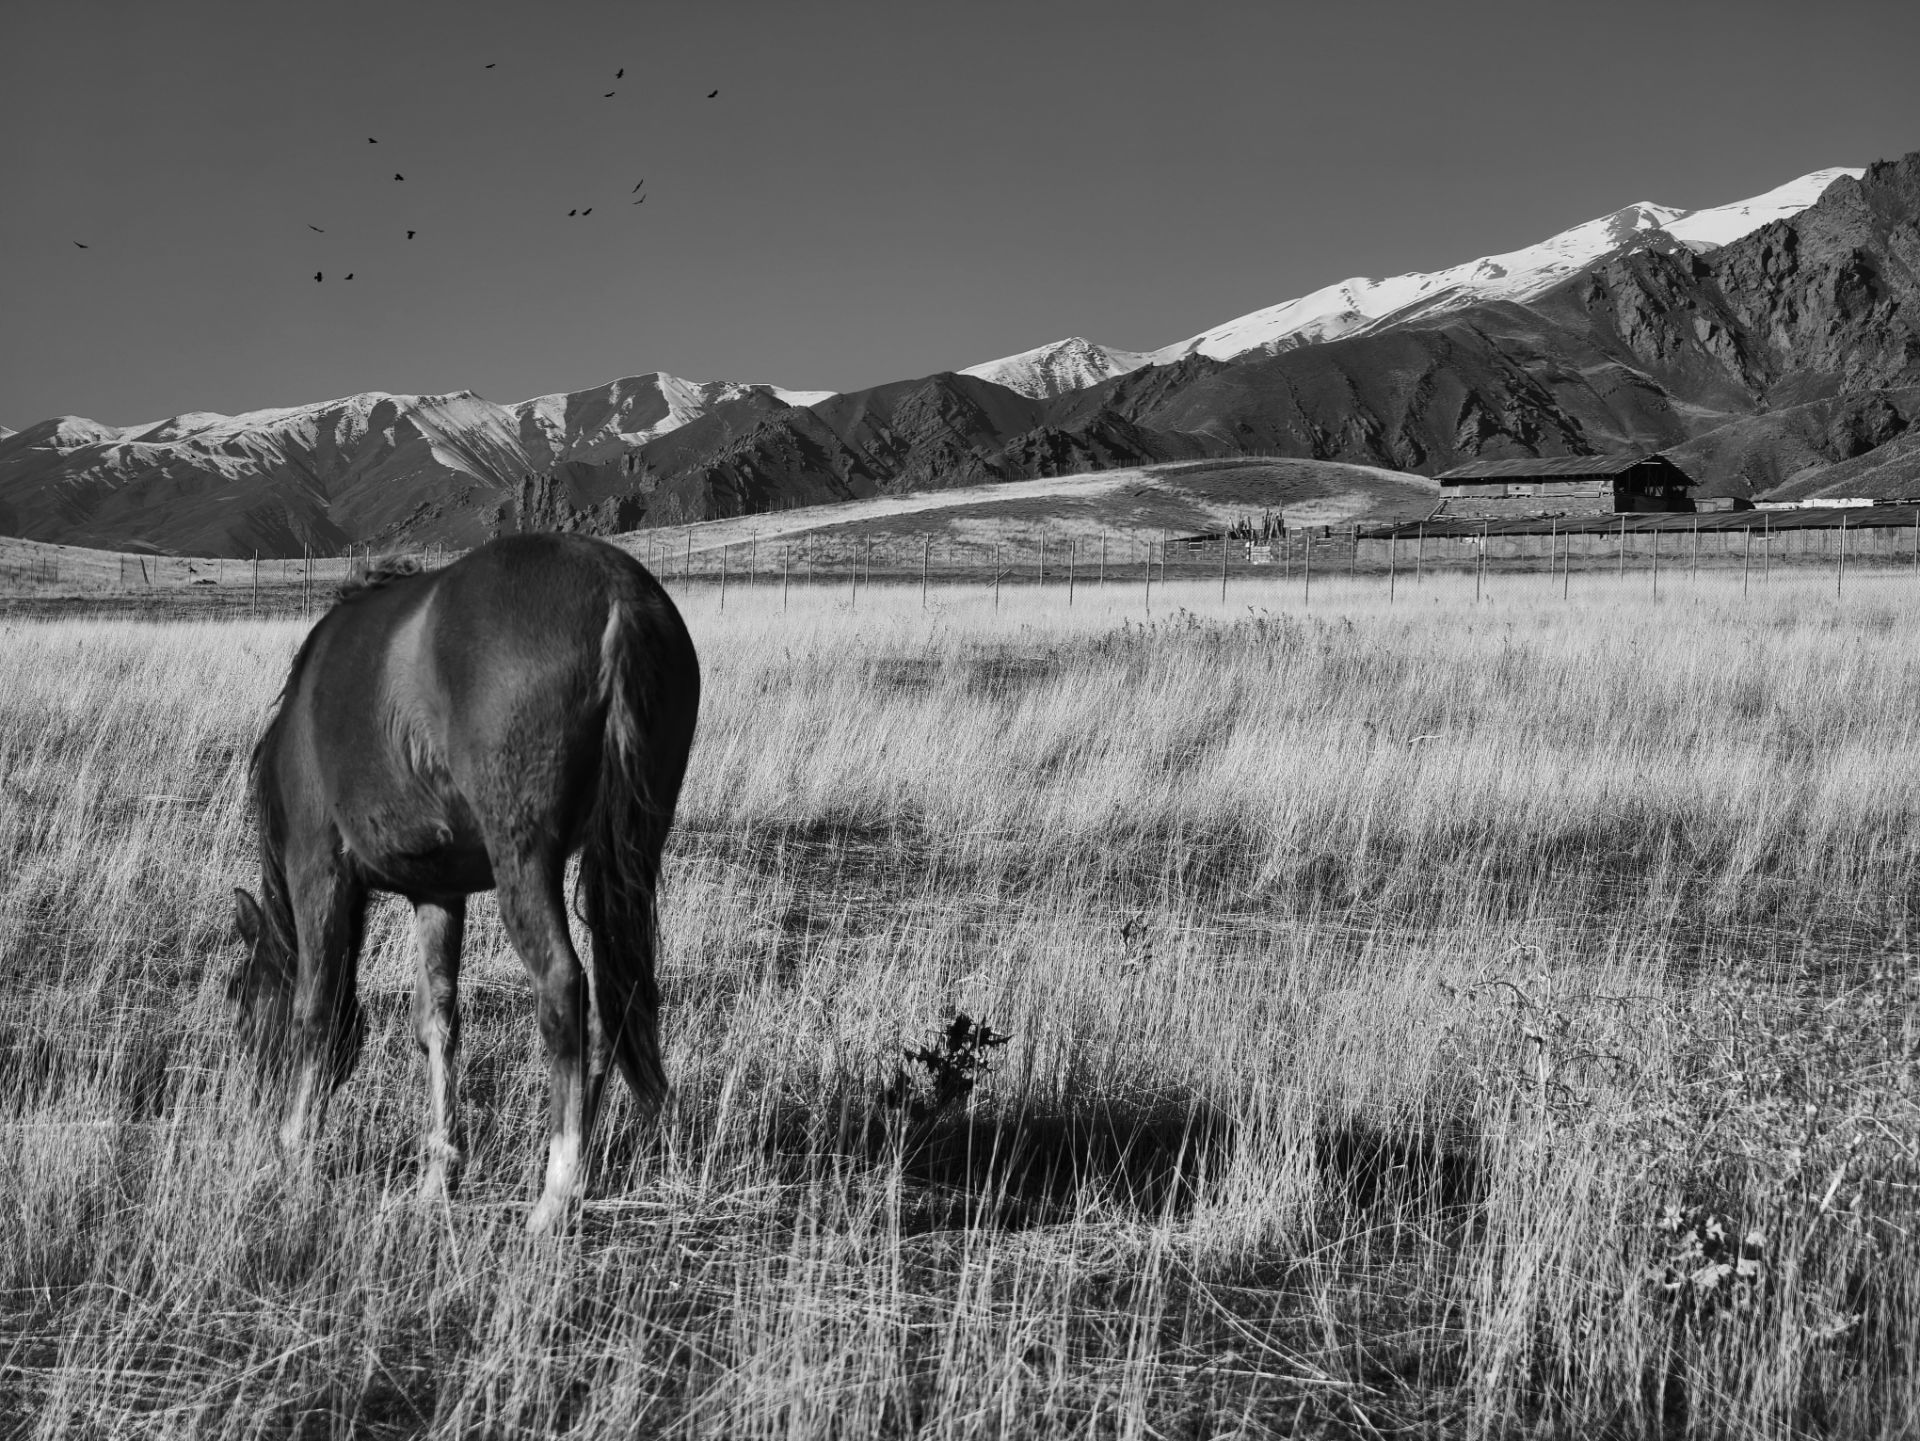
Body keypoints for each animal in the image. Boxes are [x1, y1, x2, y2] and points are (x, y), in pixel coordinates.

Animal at [227, 537, 698, 1235]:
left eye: (242, 1001)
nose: (255, 1103)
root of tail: (617, 593)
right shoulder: (438, 894)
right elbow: (437, 1022)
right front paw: (437, 1175)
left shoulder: (319, 872)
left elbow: (315, 1011)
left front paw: (295, 1162)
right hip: (632, 853)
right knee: (616, 1003)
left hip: (522, 860)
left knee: (564, 990)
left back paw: (555, 1197)